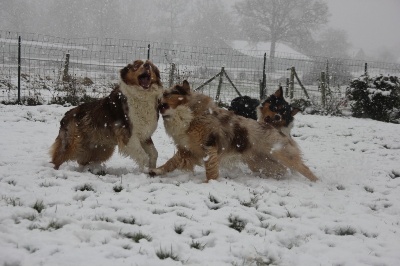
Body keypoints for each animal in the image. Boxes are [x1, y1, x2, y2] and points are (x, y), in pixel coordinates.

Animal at [148, 80, 318, 182]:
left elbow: (211, 168)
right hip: (261, 163)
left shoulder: (210, 146)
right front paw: (156, 171)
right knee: (280, 171)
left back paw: (316, 183)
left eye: (167, 94)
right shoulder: (187, 150)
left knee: (305, 170)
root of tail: (278, 130)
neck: (189, 116)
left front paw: (210, 183)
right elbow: (171, 162)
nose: (157, 101)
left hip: (283, 155)